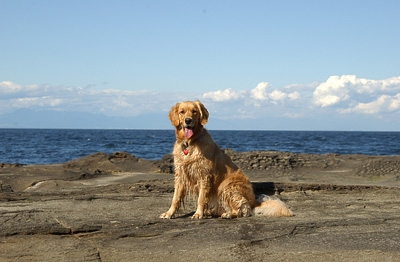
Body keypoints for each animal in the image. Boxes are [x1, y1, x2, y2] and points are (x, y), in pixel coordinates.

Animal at [159, 100, 294, 219]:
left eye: (194, 111)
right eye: (182, 112)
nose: (188, 120)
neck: (189, 143)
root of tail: (254, 201)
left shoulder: (204, 176)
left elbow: (201, 199)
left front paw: (198, 214)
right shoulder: (180, 175)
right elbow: (175, 198)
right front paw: (169, 213)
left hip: (228, 187)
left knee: (243, 210)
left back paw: (228, 214)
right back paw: (211, 212)